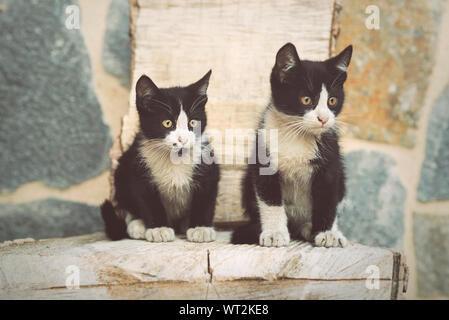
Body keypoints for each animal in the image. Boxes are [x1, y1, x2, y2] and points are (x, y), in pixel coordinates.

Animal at [102, 70, 220, 242]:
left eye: (193, 123)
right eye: (167, 123)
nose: (182, 140)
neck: (175, 157)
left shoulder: (208, 167)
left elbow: (205, 198)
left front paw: (201, 228)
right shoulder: (138, 170)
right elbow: (149, 201)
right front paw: (159, 229)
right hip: (122, 168)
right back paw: (137, 225)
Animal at [231, 42, 354, 248]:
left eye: (332, 100)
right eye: (306, 99)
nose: (324, 119)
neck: (297, 135)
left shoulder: (330, 164)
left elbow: (327, 200)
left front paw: (327, 233)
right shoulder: (263, 159)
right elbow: (270, 200)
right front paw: (274, 233)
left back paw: (314, 229)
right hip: (247, 182)